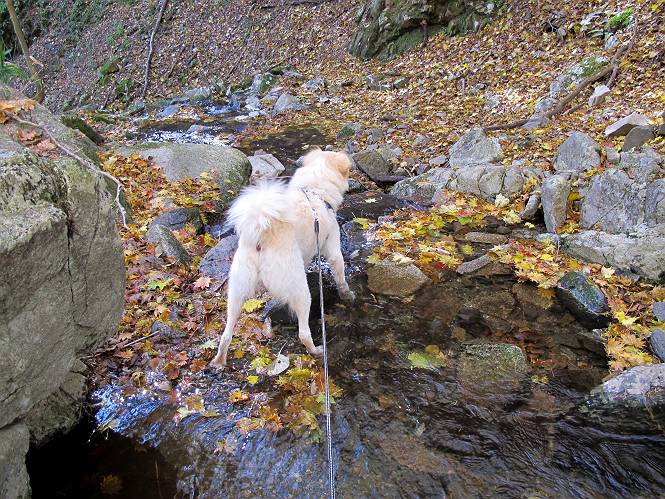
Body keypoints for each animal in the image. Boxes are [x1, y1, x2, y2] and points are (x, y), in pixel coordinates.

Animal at [210, 150, 355, 369]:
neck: (314, 191)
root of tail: (261, 236)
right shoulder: (333, 248)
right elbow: (341, 275)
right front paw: (347, 294)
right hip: (301, 293)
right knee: (303, 333)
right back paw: (316, 350)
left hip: (236, 292)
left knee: (226, 334)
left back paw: (219, 361)